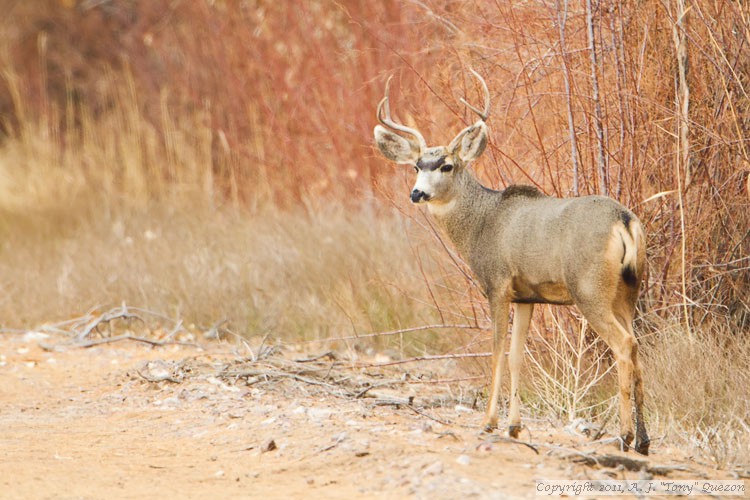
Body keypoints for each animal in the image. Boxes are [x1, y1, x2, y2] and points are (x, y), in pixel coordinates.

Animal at [374, 70, 652, 458]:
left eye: (446, 165)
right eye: (417, 165)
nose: (417, 193)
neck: (481, 224)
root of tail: (624, 220)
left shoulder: (498, 285)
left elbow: (497, 353)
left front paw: (489, 422)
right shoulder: (526, 296)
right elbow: (518, 357)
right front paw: (514, 426)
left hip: (590, 289)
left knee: (624, 344)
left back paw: (624, 436)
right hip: (628, 289)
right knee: (637, 346)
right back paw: (643, 440)